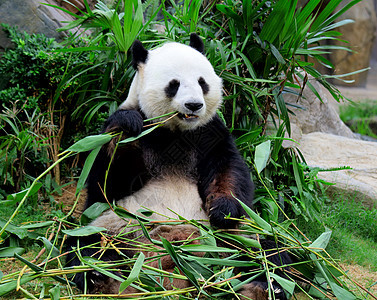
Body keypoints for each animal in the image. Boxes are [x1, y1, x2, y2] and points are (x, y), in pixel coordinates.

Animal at [66, 34, 290, 298]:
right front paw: (127, 126)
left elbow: (228, 169)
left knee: (270, 252)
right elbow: (108, 182)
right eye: (174, 84)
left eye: (202, 82)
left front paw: (222, 210)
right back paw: (100, 276)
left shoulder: (209, 133)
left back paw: (263, 286)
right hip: (118, 227)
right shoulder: (136, 130)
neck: (176, 131)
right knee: (86, 248)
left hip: (238, 237)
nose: (194, 105)